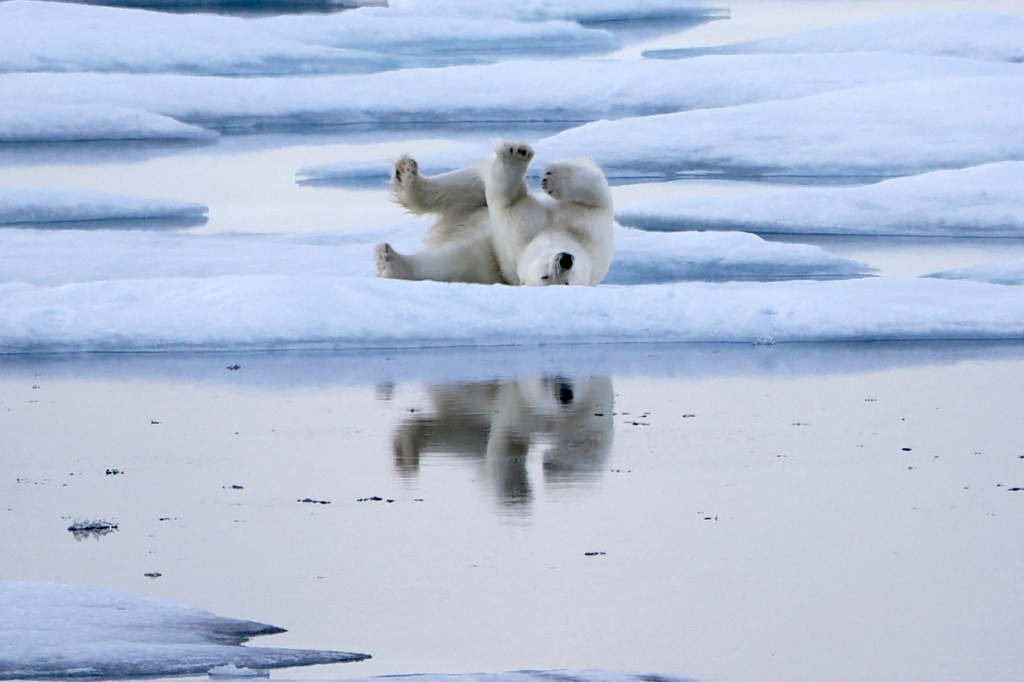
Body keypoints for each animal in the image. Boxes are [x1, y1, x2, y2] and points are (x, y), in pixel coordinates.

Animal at [374, 140, 614, 286]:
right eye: (545, 275)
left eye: (566, 282)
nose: (565, 260)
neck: (556, 233)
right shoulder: (592, 226)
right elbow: (597, 190)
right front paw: (523, 158)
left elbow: (504, 199)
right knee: (466, 185)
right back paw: (406, 175)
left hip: (480, 262)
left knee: (444, 263)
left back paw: (390, 260)